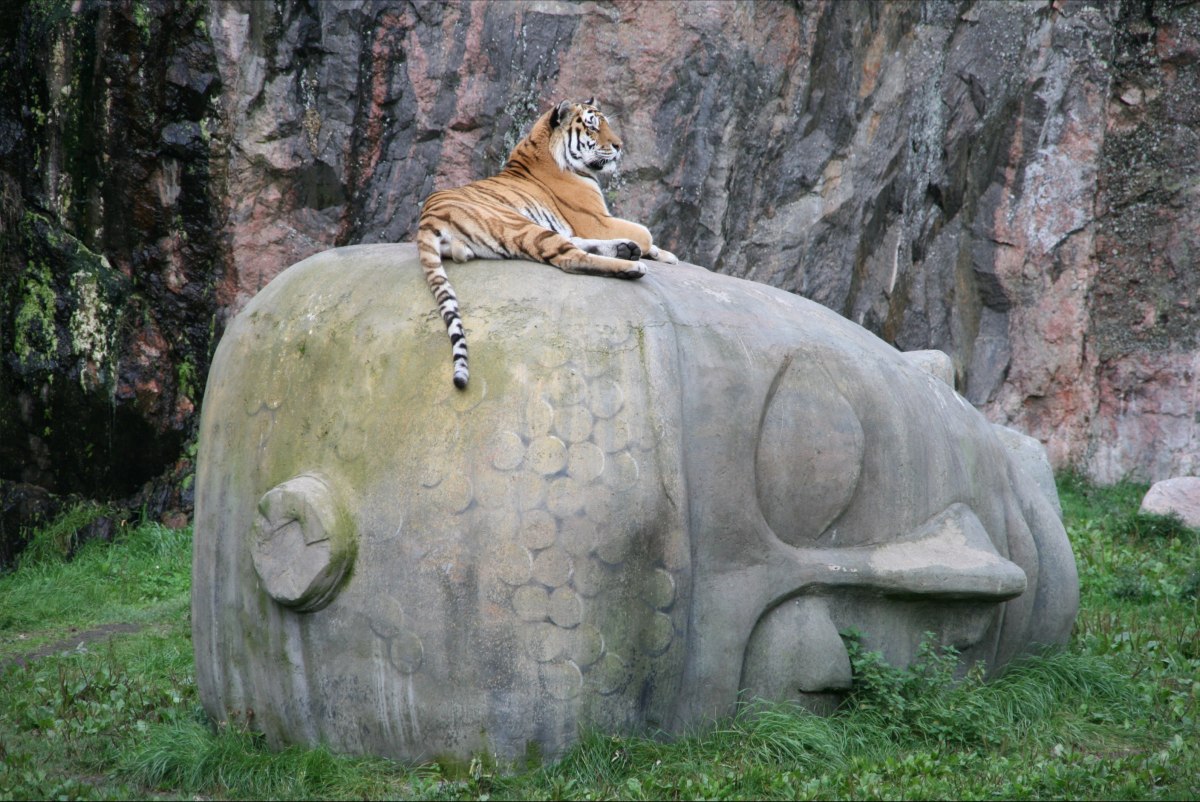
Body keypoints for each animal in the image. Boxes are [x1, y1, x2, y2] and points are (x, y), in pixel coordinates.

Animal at [415, 97, 678, 389]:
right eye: (593, 127)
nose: (619, 146)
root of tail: (427, 218)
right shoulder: (597, 220)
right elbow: (646, 232)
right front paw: (654, 251)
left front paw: (665, 255)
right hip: (521, 224)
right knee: (571, 258)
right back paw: (631, 266)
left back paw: (626, 249)